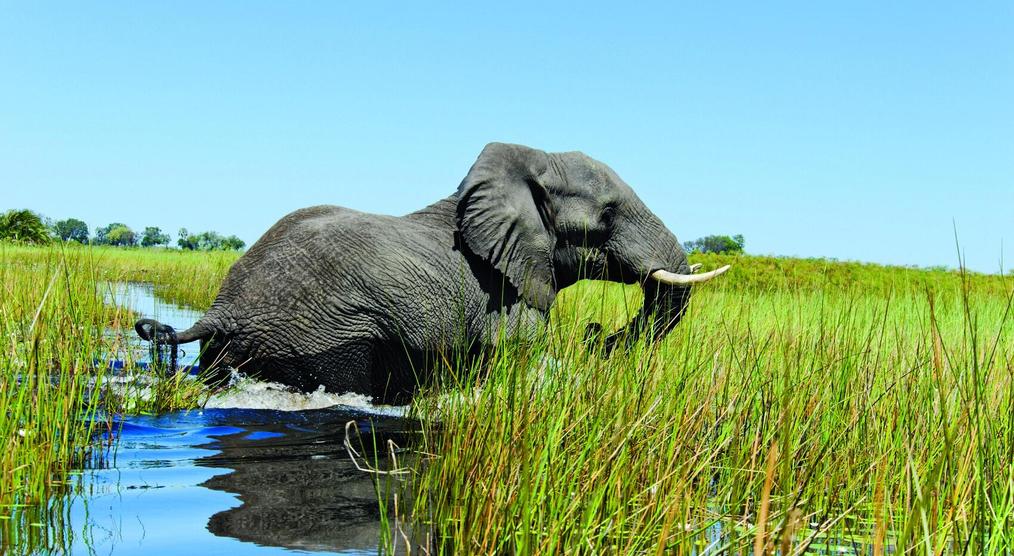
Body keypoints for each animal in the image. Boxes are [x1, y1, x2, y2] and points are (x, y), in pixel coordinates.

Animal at [135, 142, 729, 403]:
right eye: (606, 216)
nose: (596, 334)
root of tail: (223, 310)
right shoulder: (505, 294)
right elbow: (516, 353)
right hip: (326, 335)